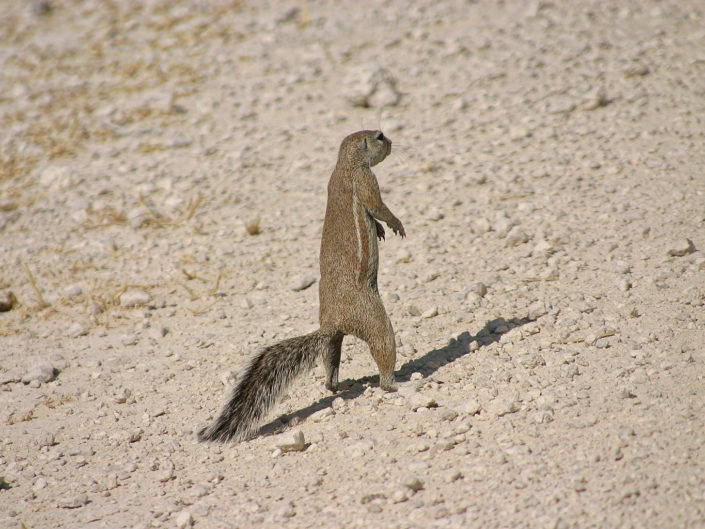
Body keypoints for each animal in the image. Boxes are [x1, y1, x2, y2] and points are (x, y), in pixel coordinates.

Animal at [197, 130, 405, 443]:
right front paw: (395, 224)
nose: (391, 142)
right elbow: (378, 207)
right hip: (374, 318)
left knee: (330, 364)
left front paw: (381, 231)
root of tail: (333, 321)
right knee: (382, 347)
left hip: (334, 340)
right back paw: (393, 384)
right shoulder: (366, 181)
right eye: (379, 136)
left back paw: (338, 386)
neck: (345, 164)